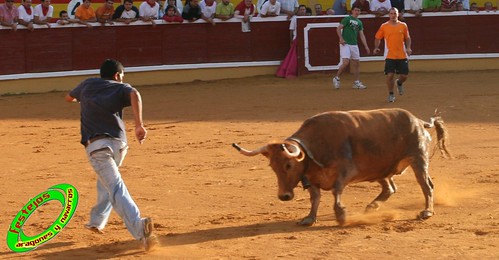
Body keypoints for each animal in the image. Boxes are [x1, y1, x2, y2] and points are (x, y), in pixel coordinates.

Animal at [234, 107, 454, 225]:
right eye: (272, 166)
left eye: (288, 164)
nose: (284, 196)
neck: (316, 145)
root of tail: (419, 121)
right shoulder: (312, 178)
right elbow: (315, 198)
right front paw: (309, 218)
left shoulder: (346, 172)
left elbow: (336, 191)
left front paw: (341, 215)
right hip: (380, 170)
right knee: (390, 188)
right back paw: (371, 207)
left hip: (418, 160)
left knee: (426, 186)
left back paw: (427, 212)